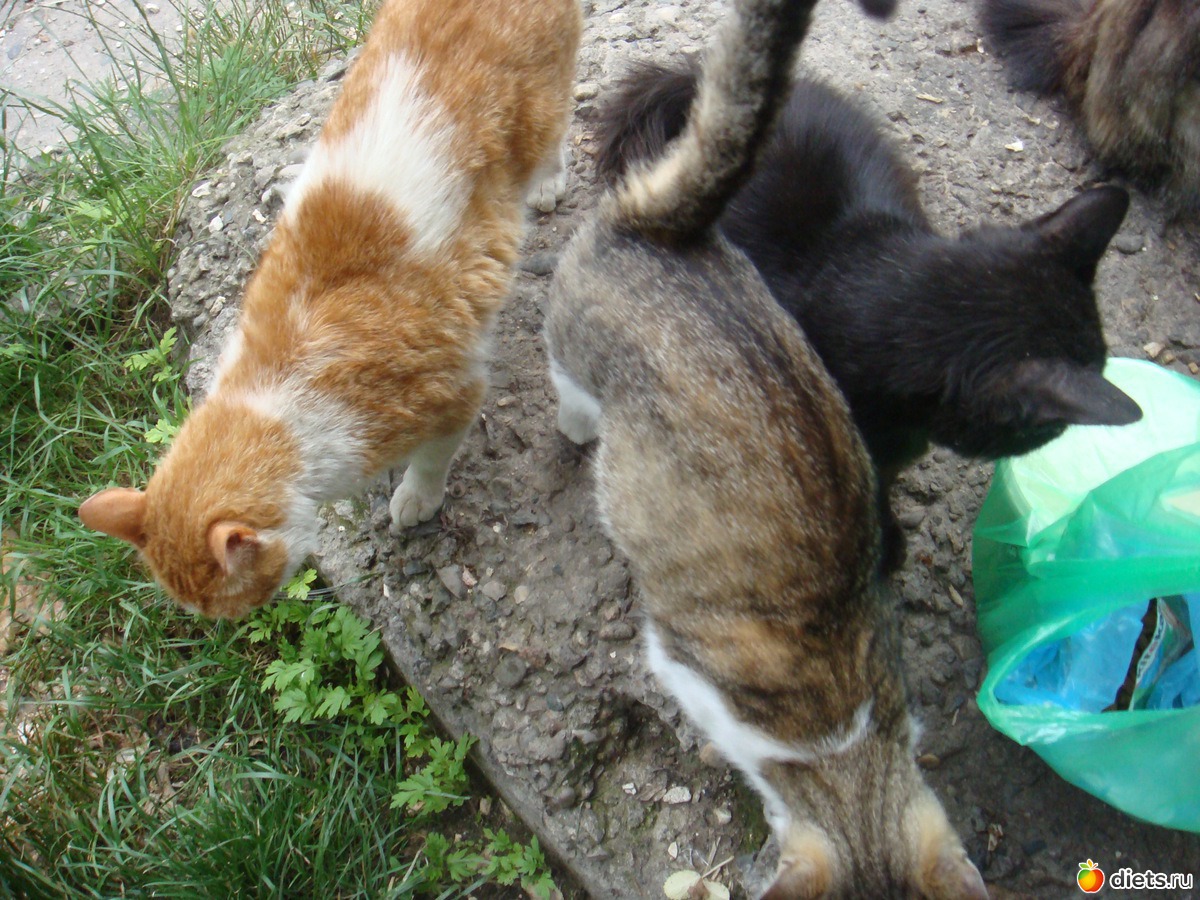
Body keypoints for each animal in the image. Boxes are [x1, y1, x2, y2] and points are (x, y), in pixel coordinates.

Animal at [77, 0, 581, 619]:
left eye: (236, 602)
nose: (239, 623)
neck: (272, 391)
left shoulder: (452, 393)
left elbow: (433, 458)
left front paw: (414, 496)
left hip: (544, 106)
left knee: (558, 130)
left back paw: (550, 181)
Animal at [545, 0, 987, 895]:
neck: (843, 739)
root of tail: (661, 228)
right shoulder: (682, 667)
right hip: (573, 355)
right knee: (566, 386)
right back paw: (579, 428)